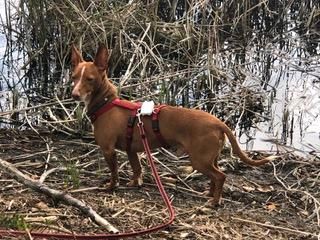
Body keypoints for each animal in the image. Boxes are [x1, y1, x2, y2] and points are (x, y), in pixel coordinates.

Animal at [70, 43, 272, 204]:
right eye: (73, 77)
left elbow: (114, 173)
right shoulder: (131, 150)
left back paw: (215, 202)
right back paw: (210, 194)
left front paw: (111, 187)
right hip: (210, 158)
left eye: (90, 79)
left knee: (220, 176)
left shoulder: (108, 150)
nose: (74, 94)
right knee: (215, 177)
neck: (107, 103)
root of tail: (218, 122)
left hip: (199, 160)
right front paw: (135, 183)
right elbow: (137, 169)